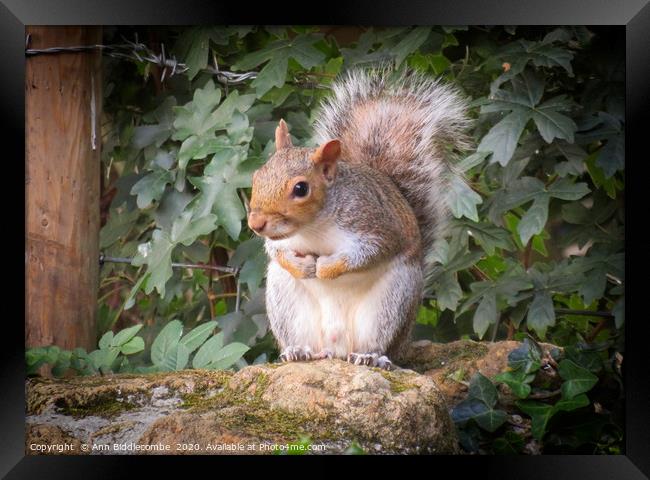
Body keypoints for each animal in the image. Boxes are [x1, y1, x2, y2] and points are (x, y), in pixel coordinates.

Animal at [246, 65, 468, 370]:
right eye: (257, 176)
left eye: (301, 189)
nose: (255, 224)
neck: (313, 227)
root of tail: (335, 348)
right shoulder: (280, 240)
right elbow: (275, 250)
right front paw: (302, 265)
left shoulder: (375, 223)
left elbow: (370, 251)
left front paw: (326, 267)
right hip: (285, 299)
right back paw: (298, 351)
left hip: (392, 299)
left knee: (380, 342)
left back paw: (369, 356)